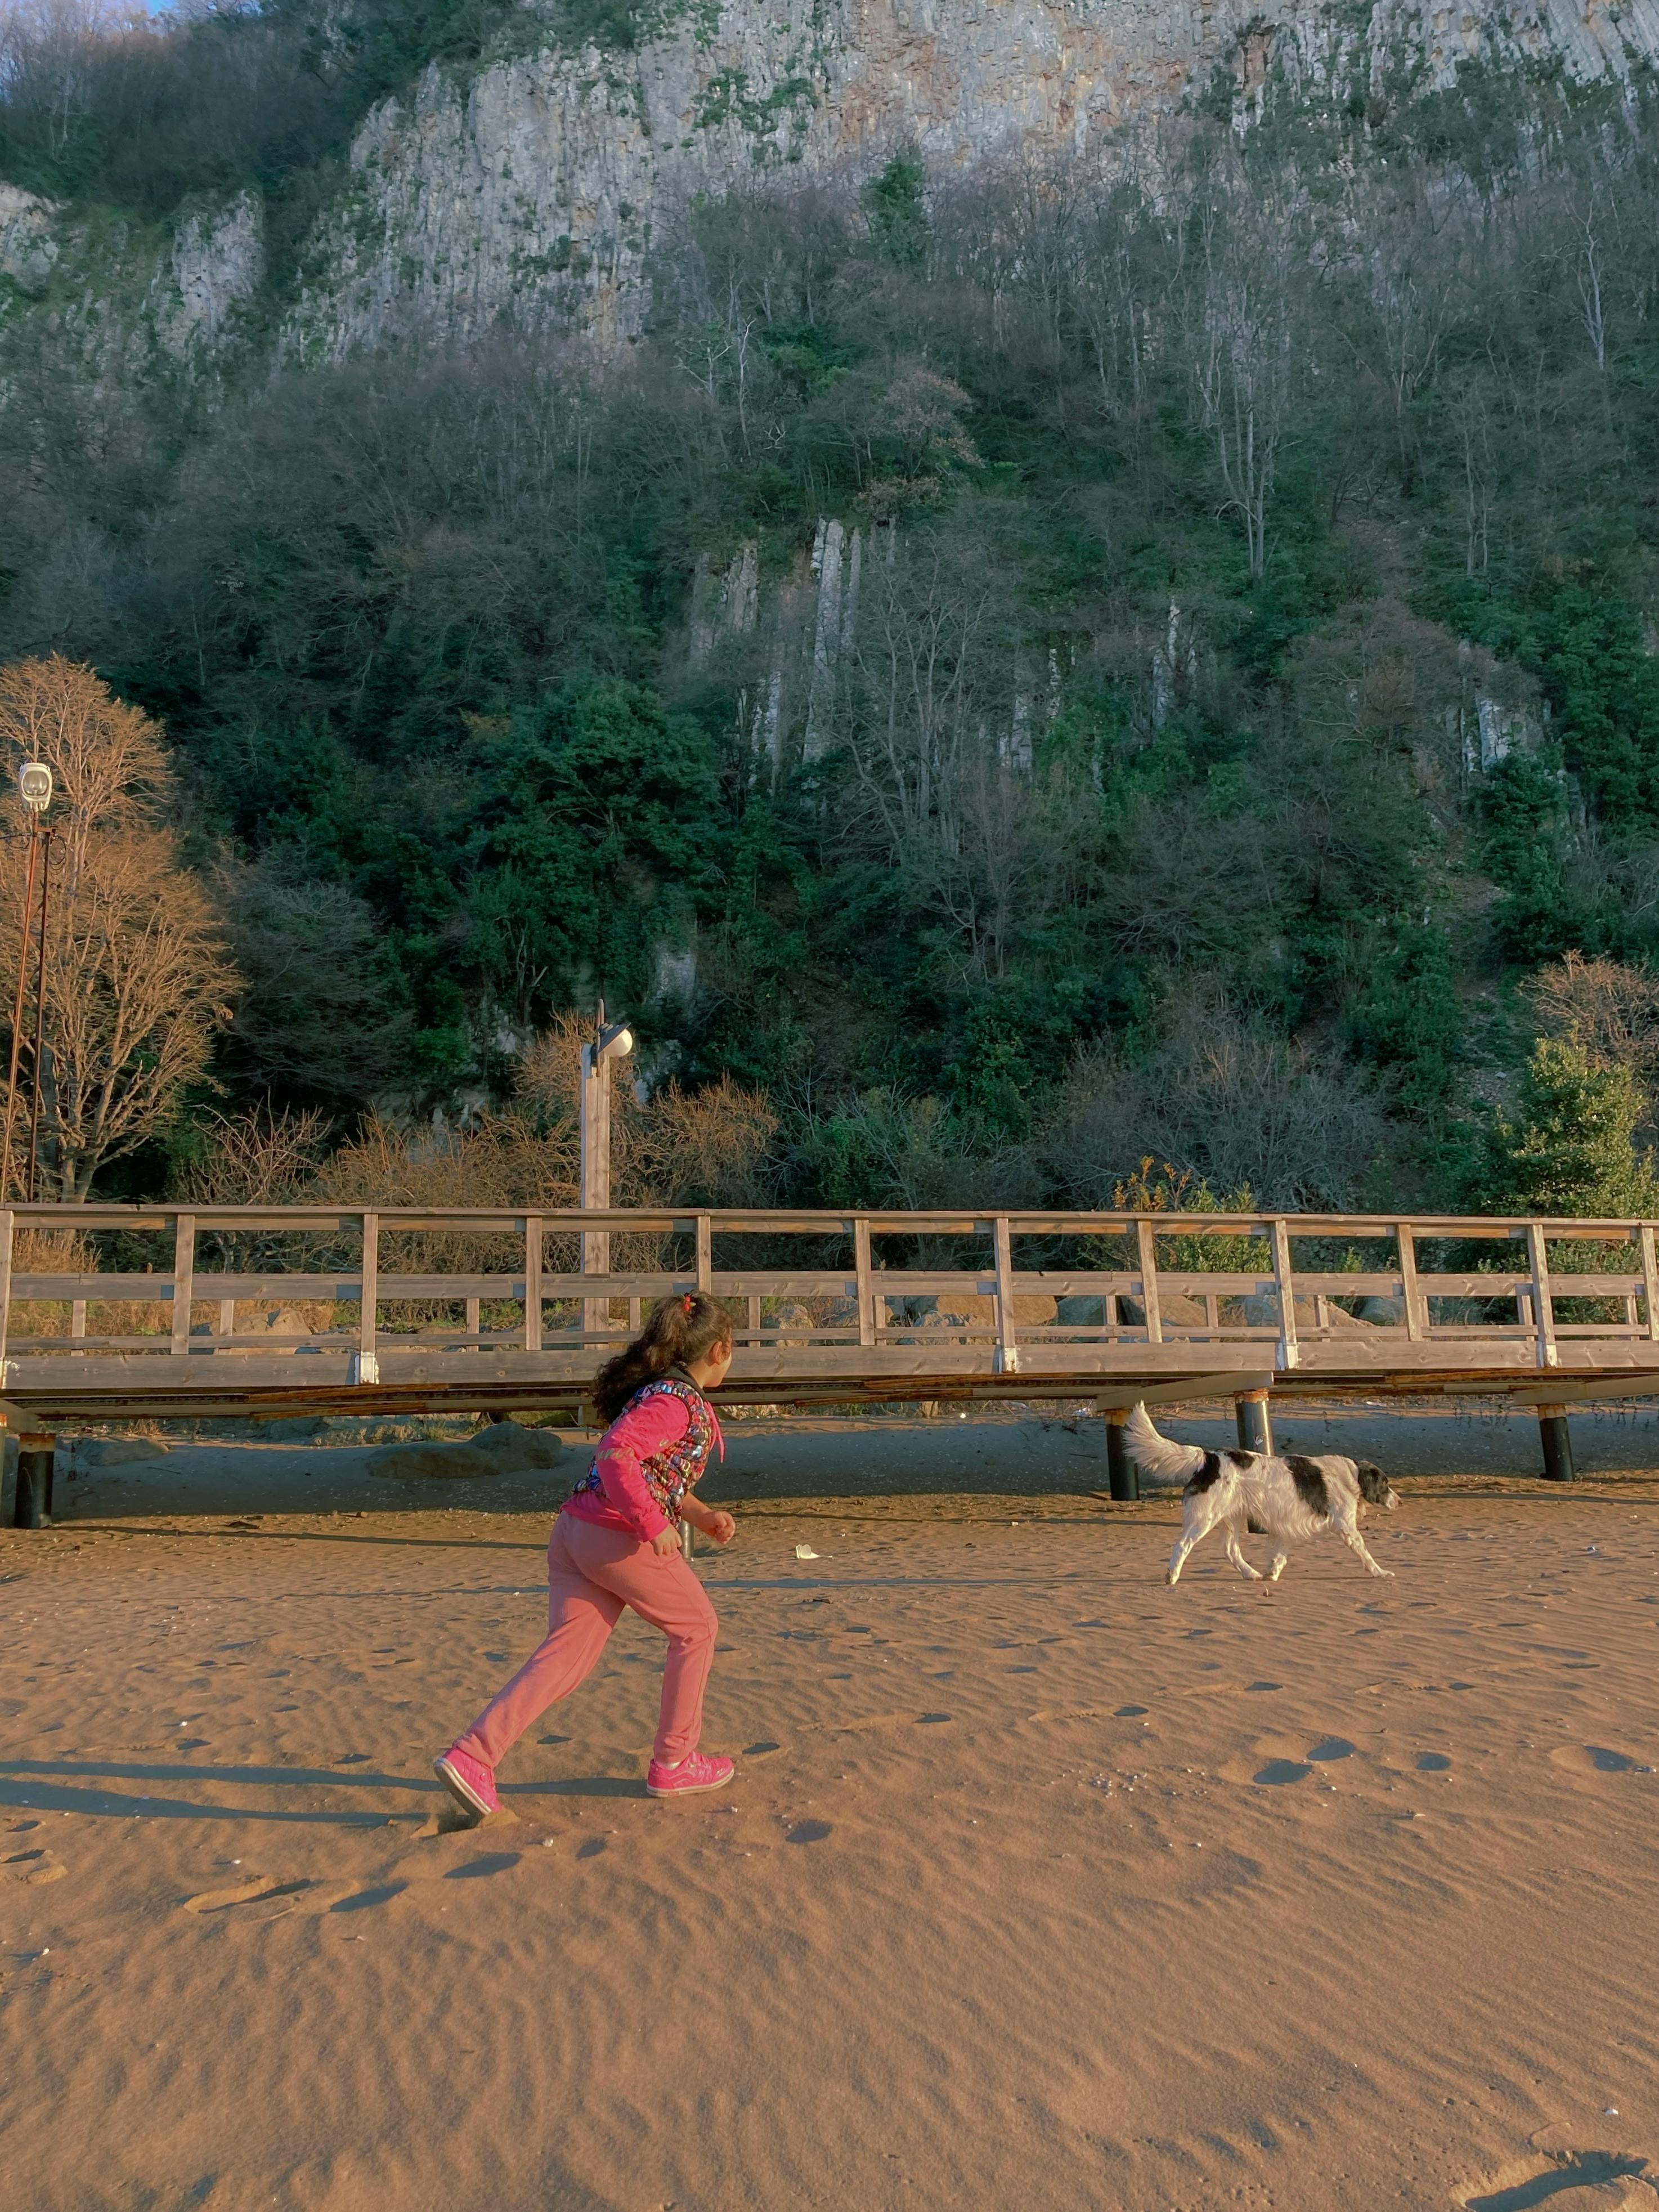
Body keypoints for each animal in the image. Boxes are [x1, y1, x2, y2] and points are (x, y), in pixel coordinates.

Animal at [1132, 1407, 1406, 1583]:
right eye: (1385, 1483)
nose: (1400, 1502)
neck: (1352, 1475)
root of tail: (1209, 1458)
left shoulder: (1286, 1527)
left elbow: (1279, 1556)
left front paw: (1271, 1575)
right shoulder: (1346, 1527)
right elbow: (1365, 1553)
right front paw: (1380, 1572)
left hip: (1230, 1519)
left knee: (1230, 1551)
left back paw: (1251, 1574)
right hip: (1205, 1519)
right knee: (1183, 1545)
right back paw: (1172, 1577)